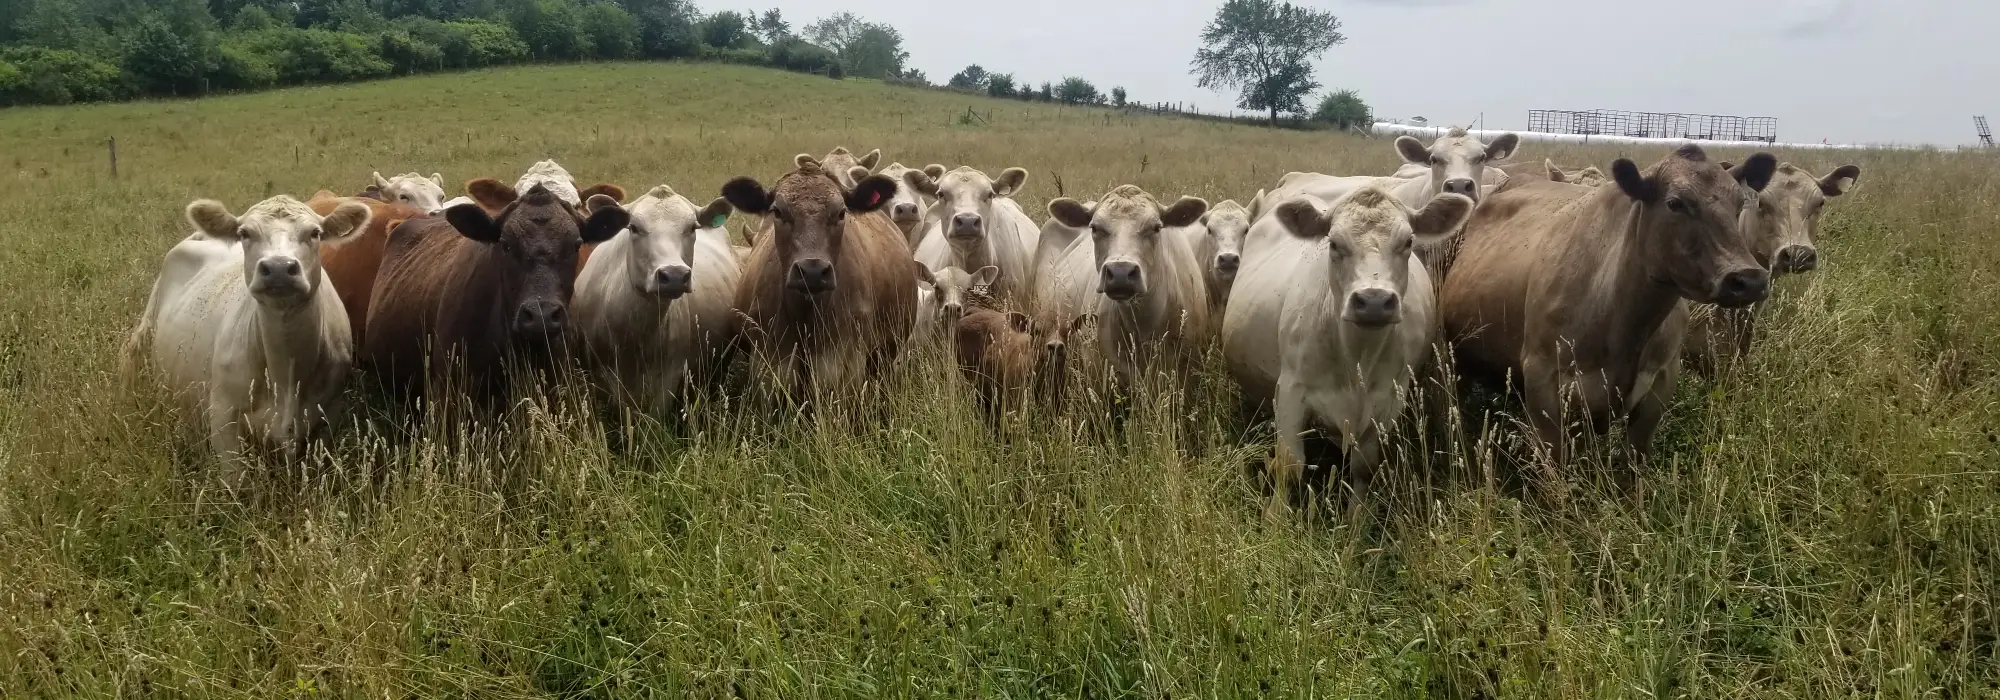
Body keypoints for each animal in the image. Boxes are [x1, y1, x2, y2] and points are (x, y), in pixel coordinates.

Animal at [123, 196, 372, 465]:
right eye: (245, 233)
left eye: (315, 233)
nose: (279, 268)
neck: (286, 374)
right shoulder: (223, 419)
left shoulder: (329, 417)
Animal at [723, 158, 917, 403]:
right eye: (777, 211)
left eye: (841, 212)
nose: (812, 271)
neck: (806, 316)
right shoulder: (769, 363)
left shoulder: (844, 365)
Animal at [1222, 188, 1474, 519]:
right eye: (1334, 243)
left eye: (1408, 242)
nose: (1374, 301)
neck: (1356, 359)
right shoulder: (1290, 391)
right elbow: (1289, 465)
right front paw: (1275, 517)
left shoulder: (1389, 401)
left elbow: (1364, 468)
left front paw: (1356, 520)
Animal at [1438, 145, 1778, 481]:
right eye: (1675, 203)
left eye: (1740, 204)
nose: (1748, 279)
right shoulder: (1542, 378)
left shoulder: (1661, 383)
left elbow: (1631, 464)